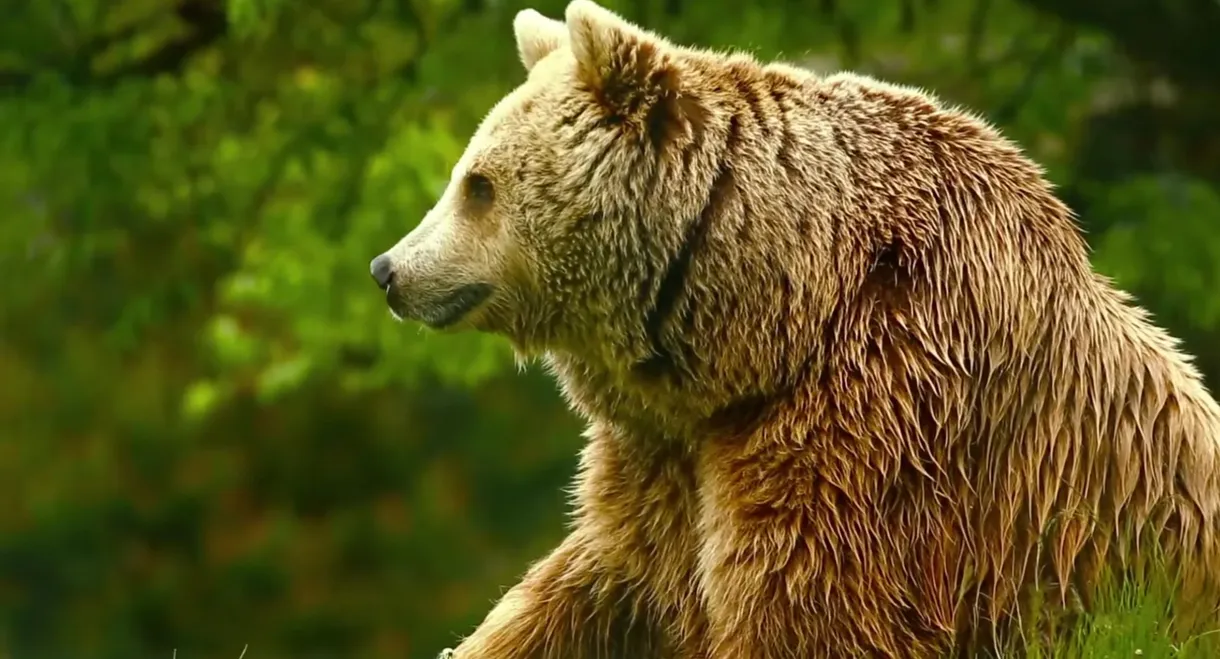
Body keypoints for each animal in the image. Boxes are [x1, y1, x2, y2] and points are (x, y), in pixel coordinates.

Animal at [368, 1, 1220, 656]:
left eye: (478, 185)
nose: (387, 268)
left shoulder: (882, 416)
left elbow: (805, 602)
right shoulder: (664, 455)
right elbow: (590, 584)